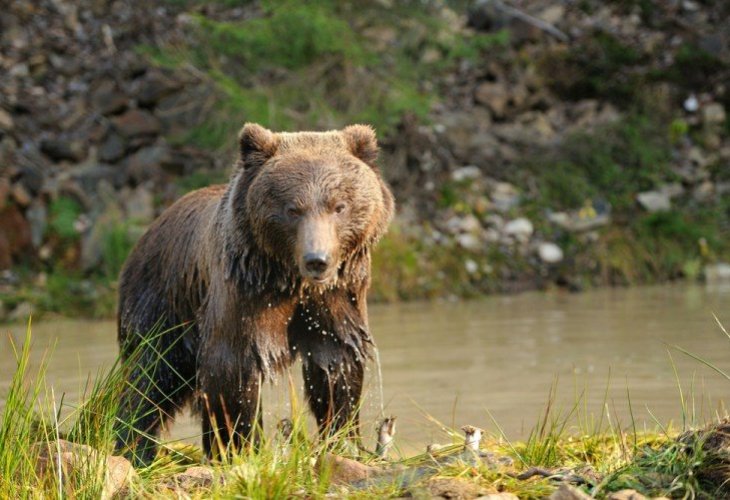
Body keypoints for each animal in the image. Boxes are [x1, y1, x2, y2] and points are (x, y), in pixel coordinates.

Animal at [115, 124, 392, 464]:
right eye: (292, 209)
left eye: (339, 206)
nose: (317, 260)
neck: (290, 280)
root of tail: (147, 233)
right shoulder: (244, 294)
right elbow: (232, 369)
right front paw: (236, 449)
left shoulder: (337, 299)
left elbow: (335, 367)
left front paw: (343, 440)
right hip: (162, 301)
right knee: (149, 376)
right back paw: (133, 447)